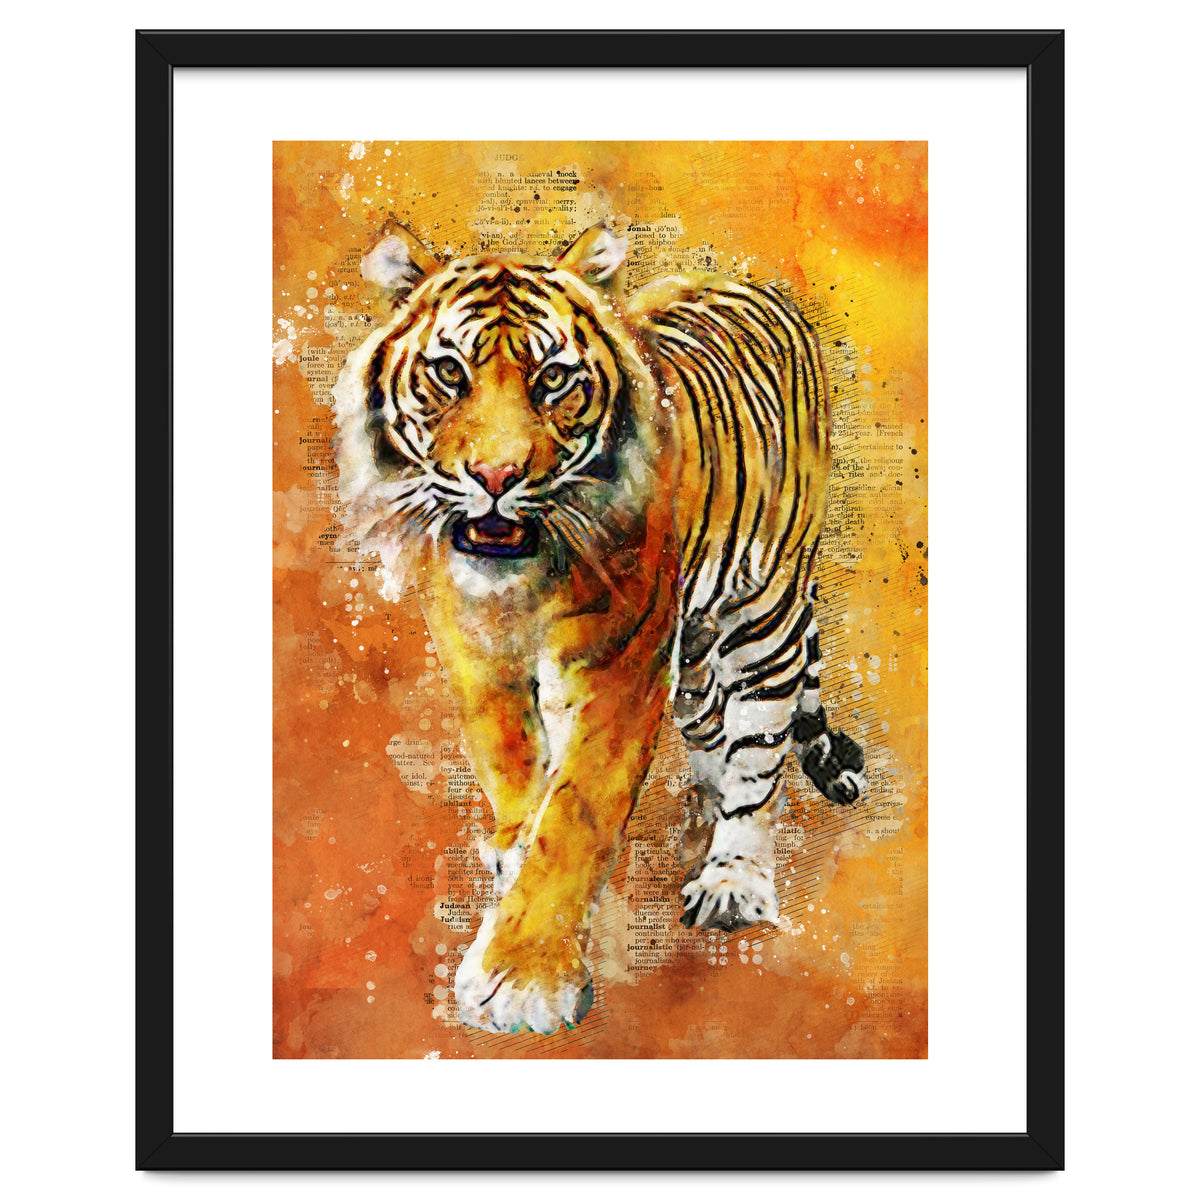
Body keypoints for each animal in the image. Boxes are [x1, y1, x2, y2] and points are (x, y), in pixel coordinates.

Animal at [331, 219, 865, 1035]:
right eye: (449, 373)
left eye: (553, 379)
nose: (496, 477)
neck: (520, 584)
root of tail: (749, 282)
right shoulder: (474, 648)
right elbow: (512, 764)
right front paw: (513, 848)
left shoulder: (621, 666)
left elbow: (576, 813)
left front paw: (523, 978)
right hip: (697, 651)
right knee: (712, 729)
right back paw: (702, 811)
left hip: (762, 611)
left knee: (759, 751)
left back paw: (733, 877)